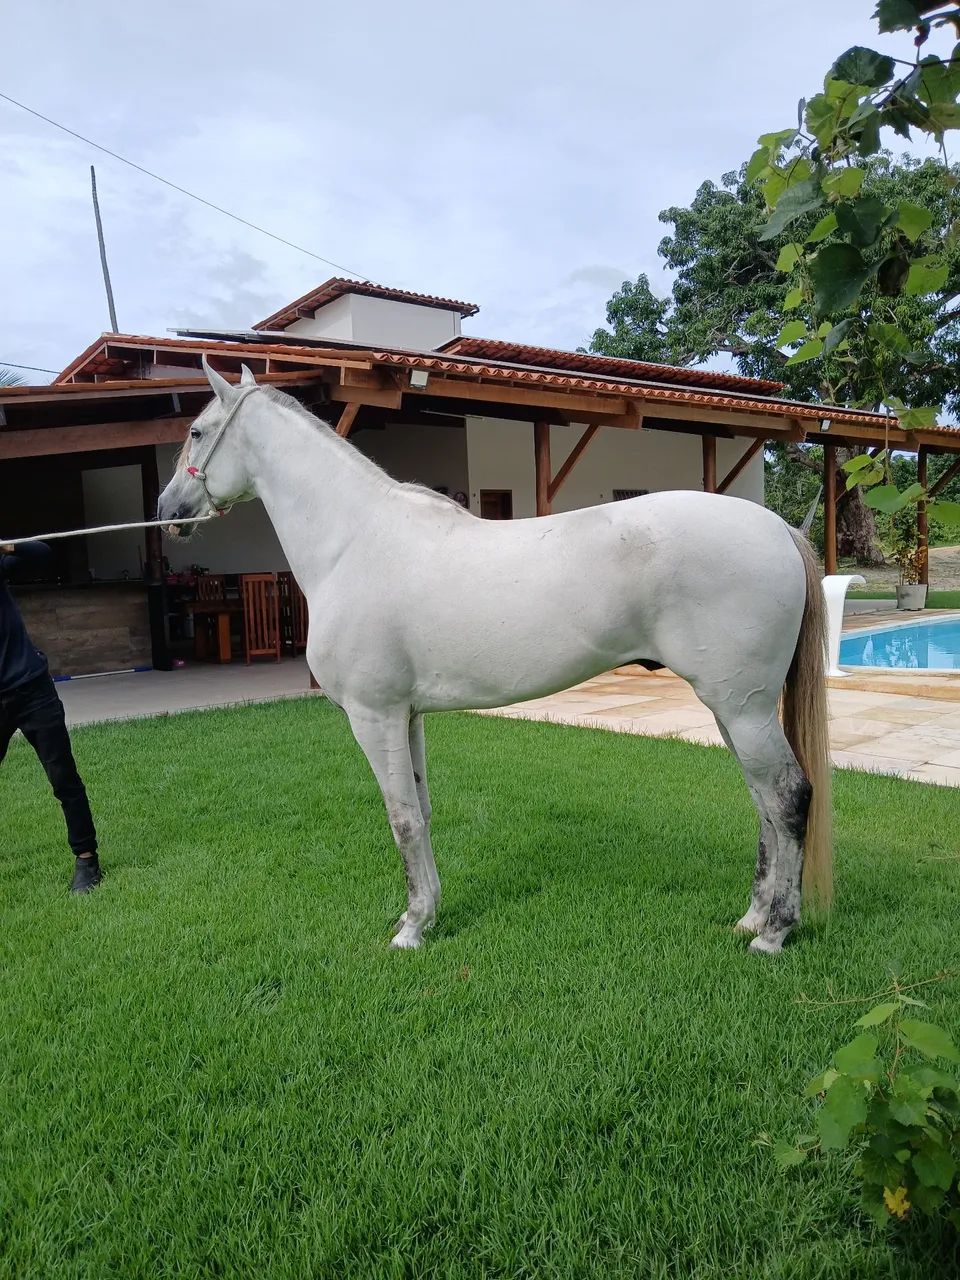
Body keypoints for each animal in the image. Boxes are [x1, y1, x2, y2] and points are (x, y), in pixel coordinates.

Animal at [158, 360, 832, 955]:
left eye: (195, 431)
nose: (167, 514)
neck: (355, 542)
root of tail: (777, 528)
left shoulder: (374, 715)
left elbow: (401, 818)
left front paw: (410, 929)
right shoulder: (406, 716)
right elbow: (423, 812)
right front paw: (427, 913)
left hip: (743, 708)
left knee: (787, 797)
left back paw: (774, 933)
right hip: (731, 707)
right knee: (762, 802)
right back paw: (751, 918)